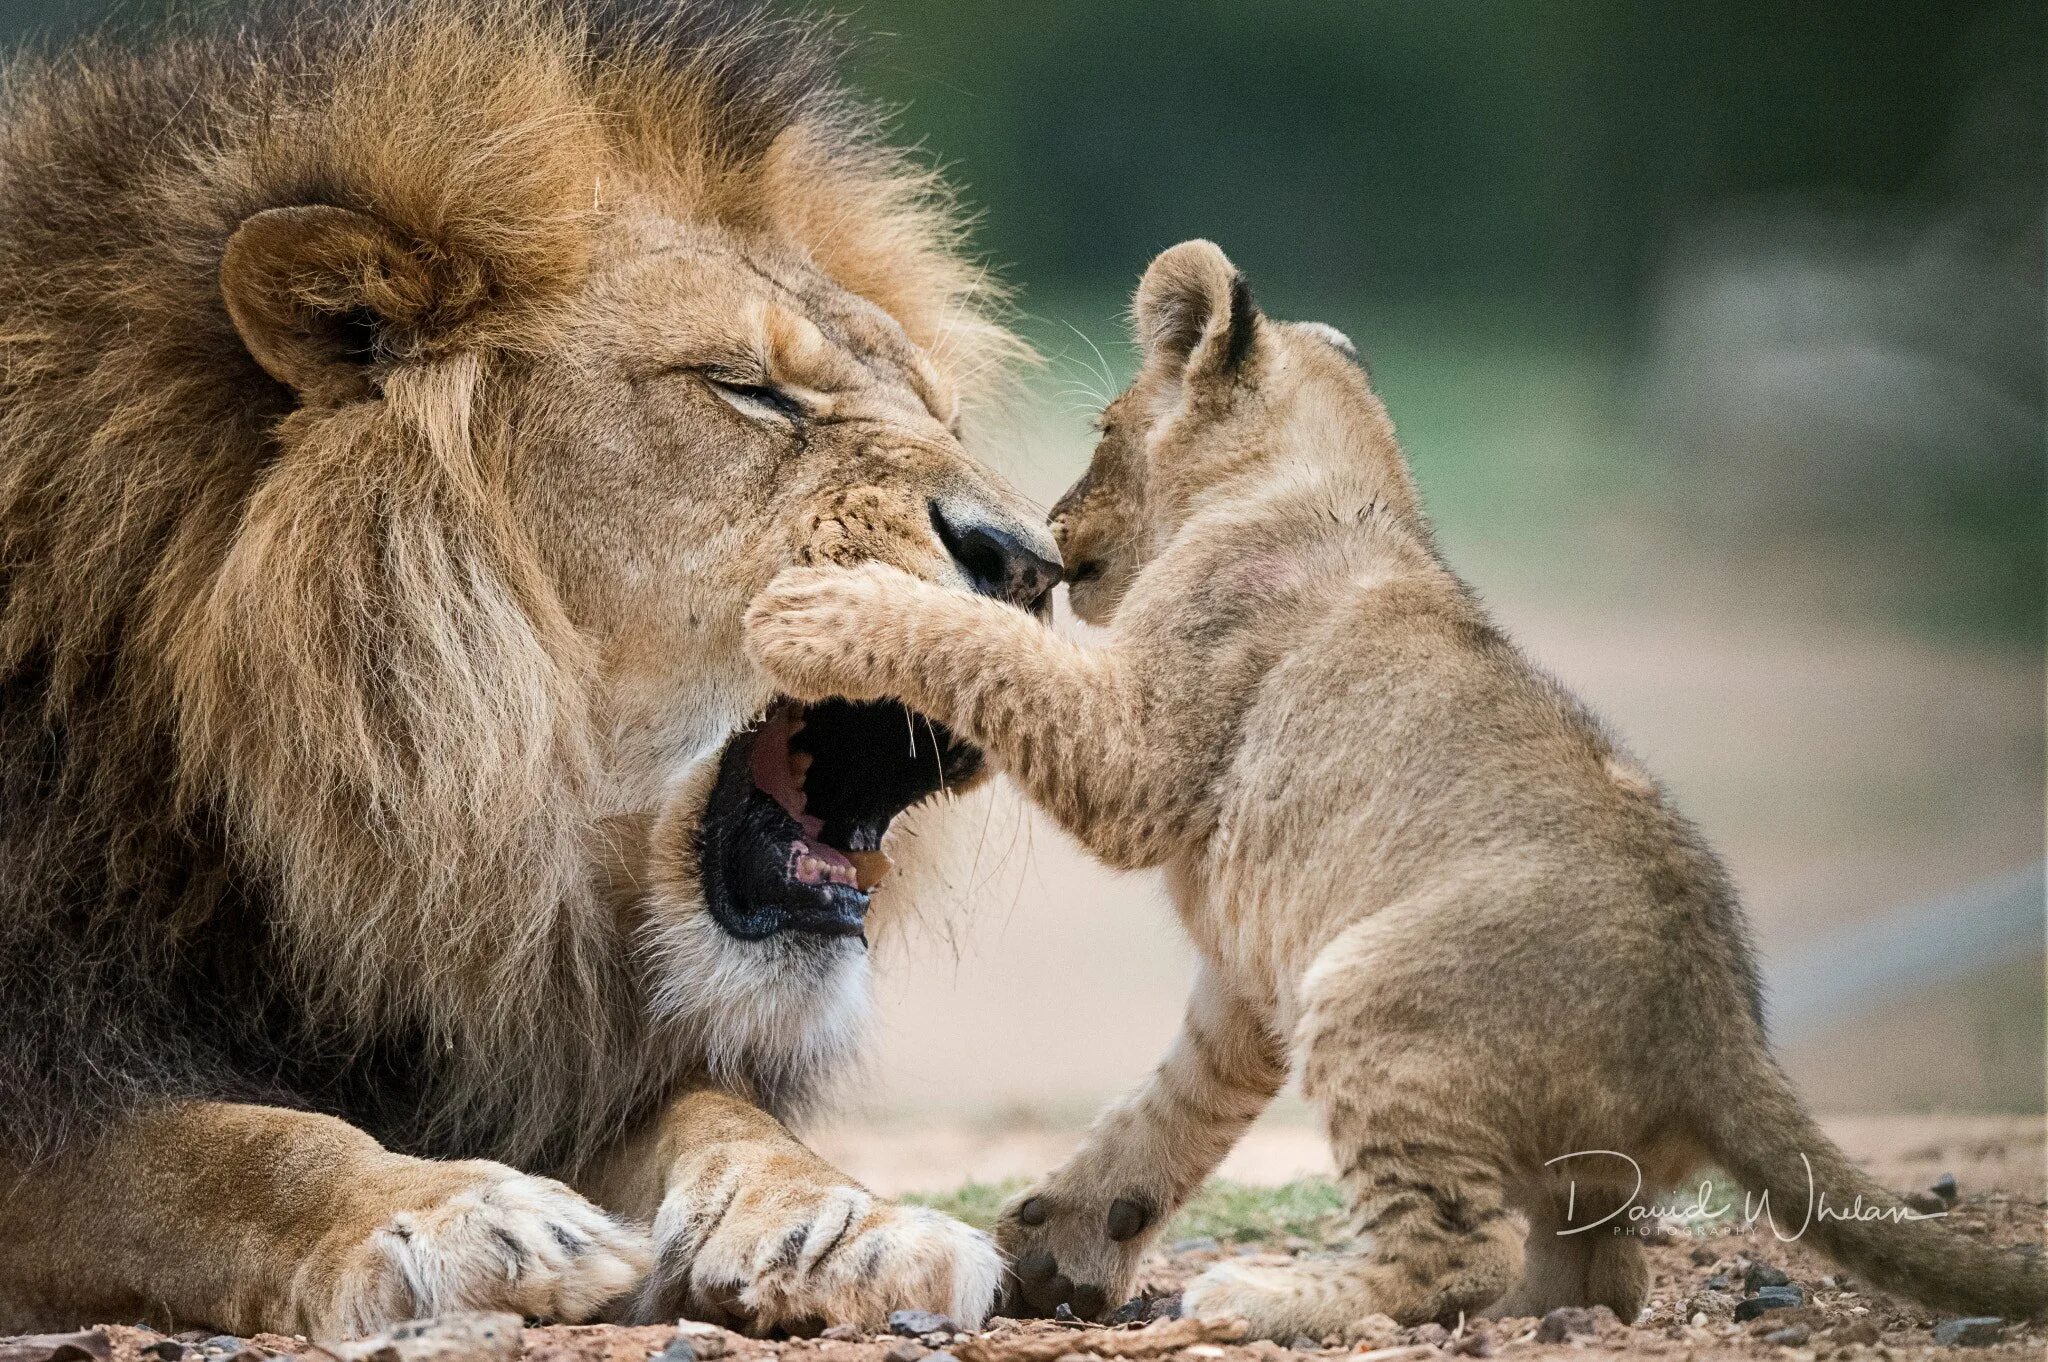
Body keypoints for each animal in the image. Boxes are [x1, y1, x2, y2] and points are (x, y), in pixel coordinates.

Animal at [0, 0, 1056, 1335]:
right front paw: (442, 1214)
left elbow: (715, 1108)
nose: (1033, 563)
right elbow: (198, 1151)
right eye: (749, 392)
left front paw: (842, 1220)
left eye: (938, 412)